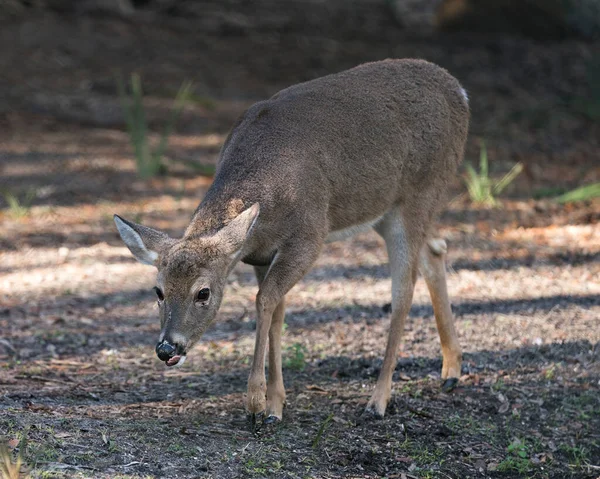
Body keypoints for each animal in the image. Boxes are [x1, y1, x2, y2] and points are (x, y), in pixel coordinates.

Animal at [112, 58, 468, 426]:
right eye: (158, 291)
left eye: (203, 293)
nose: (167, 348)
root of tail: (459, 90)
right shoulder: (260, 253)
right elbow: (277, 311)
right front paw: (274, 406)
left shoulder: (310, 235)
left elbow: (264, 300)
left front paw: (255, 404)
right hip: (387, 211)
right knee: (435, 250)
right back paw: (451, 372)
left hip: (420, 191)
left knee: (403, 291)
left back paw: (378, 400)